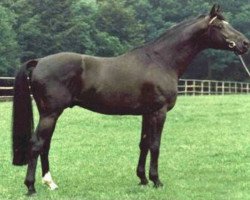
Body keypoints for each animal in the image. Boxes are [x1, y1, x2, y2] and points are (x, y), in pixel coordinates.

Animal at [12, 5, 249, 195]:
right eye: (220, 26)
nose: (245, 43)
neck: (161, 60)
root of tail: (39, 61)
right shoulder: (159, 112)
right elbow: (155, 145)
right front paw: (156, 181)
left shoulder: (146, 113)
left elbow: (143, 144)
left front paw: (142, 179)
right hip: (50, 113)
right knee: (37, 144)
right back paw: (31, 187)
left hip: (50, 114)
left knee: (45, 145)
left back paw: (50, 183)